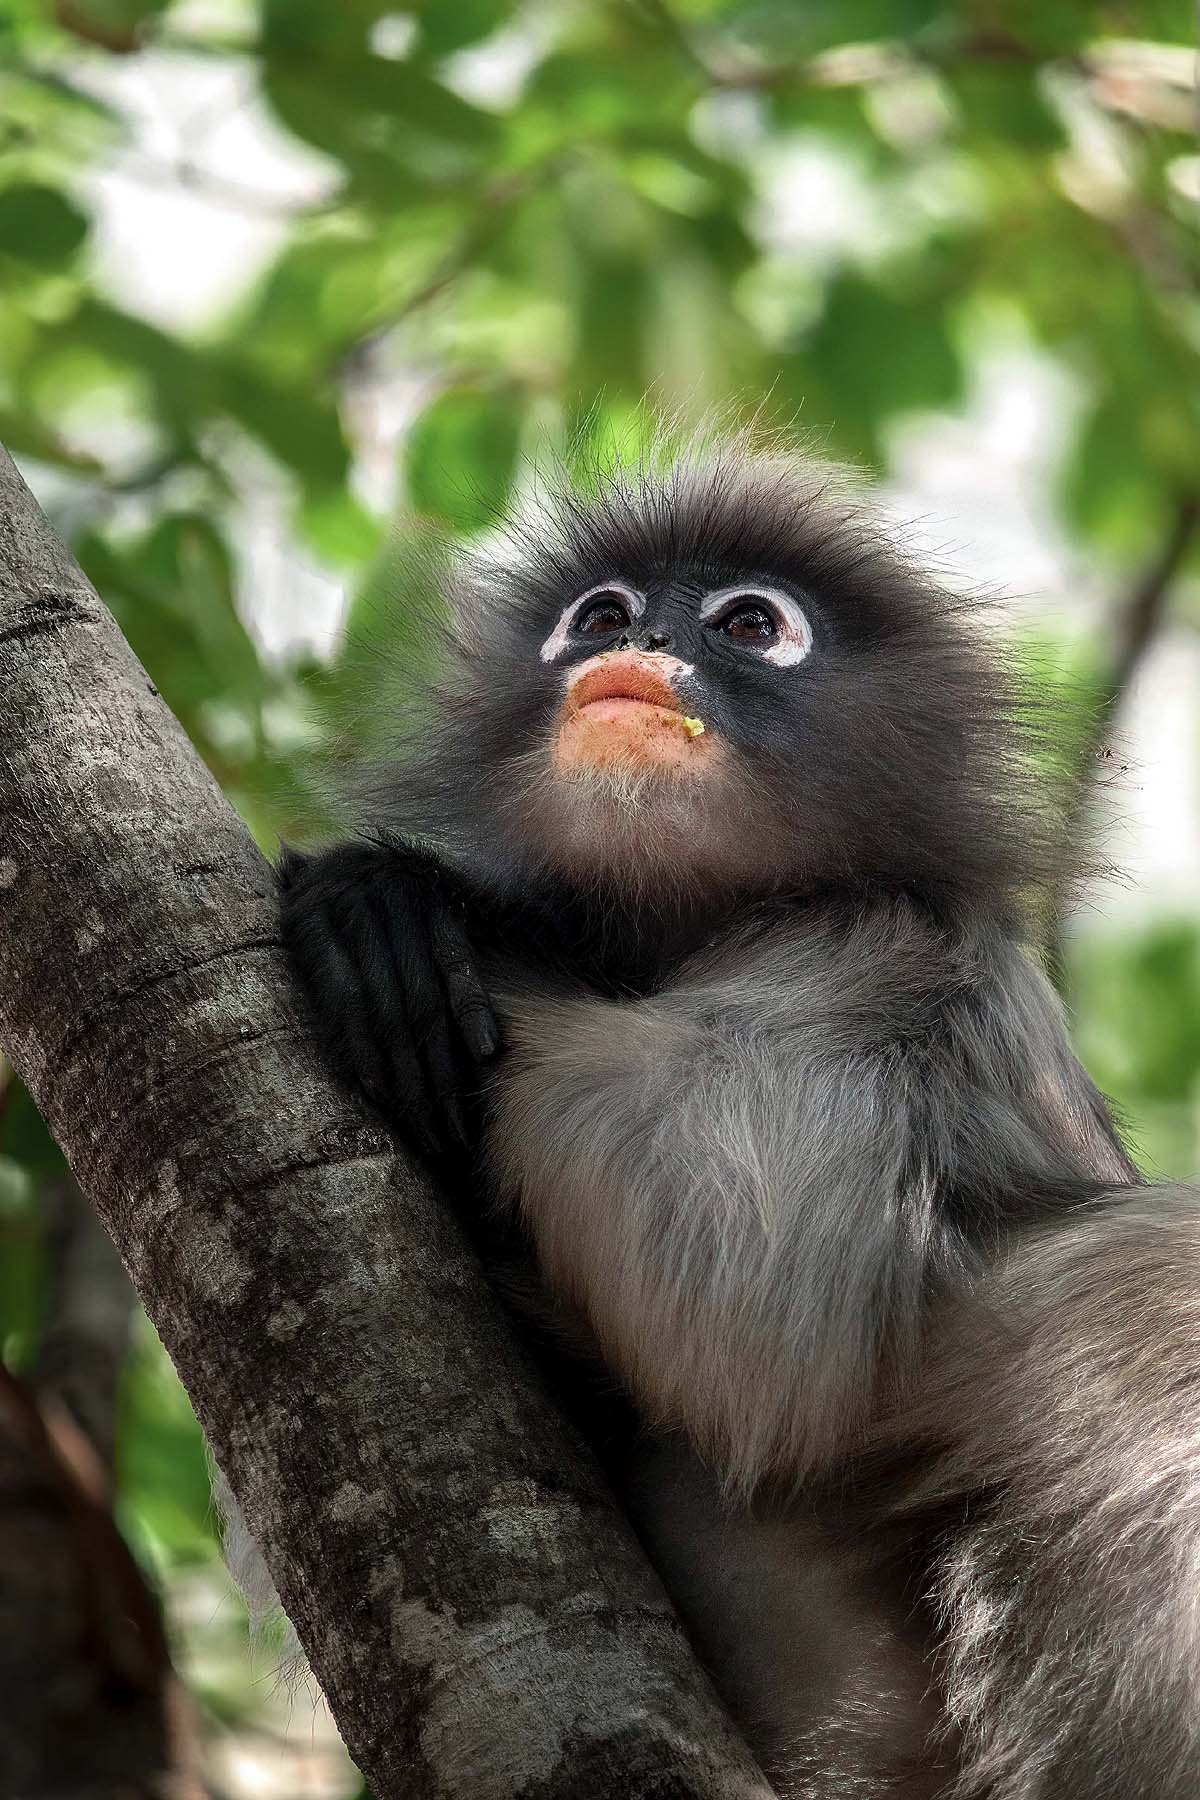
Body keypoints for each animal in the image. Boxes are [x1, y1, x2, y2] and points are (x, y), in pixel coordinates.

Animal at [277, 442, 1200, 1799]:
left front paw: (409, 905)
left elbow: (744, 1305)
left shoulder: (889, 955)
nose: (644, 637)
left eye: (750, 625)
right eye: (600, 614)